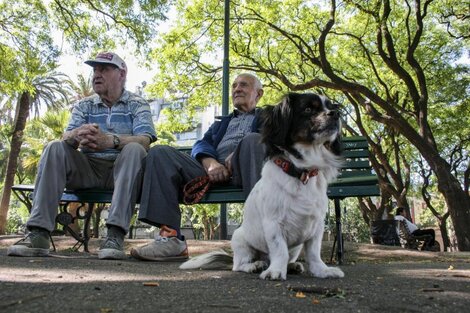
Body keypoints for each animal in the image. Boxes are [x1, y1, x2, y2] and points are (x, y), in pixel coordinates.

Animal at [179, 91, 342, 280]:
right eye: (308, 109)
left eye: (330, 107)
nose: (336, 114)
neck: (301, 173)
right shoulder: (273, 224)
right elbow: (280, 250)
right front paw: (275, 271)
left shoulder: (316, 226)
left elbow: (314, 253)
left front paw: (322, 271)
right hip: (240, 240)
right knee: (239, 265)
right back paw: (255, 265)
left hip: (295, 247)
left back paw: (291, 266)